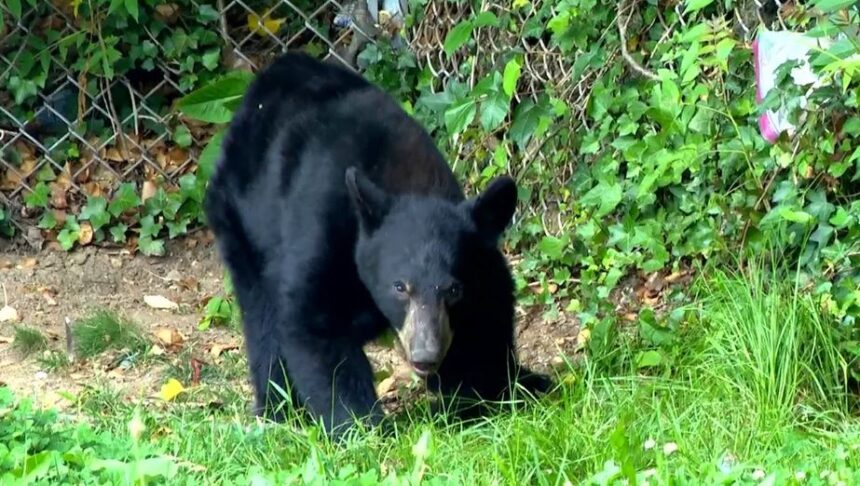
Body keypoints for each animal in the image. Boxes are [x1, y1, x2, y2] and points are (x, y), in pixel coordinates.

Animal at [202, 51, 552, 434]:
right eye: (400, 286)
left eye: (454, 290)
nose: (425, 356)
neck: (405, 179)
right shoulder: (322, 229)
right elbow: (313, 323)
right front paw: (363, 426)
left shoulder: (481, 266)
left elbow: (487, 320)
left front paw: (506, 388)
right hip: (240, 222)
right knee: (261, 317)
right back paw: (279, 410)